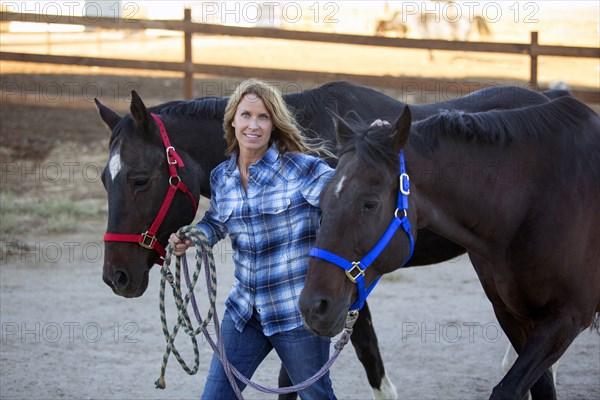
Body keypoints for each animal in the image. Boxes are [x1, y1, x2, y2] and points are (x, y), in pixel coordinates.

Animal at [300, 97, 600, 400]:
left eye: (370, 204)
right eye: (322, 199)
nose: (313, 306)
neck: (535, 201)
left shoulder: (567, 317)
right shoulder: (512, 315)